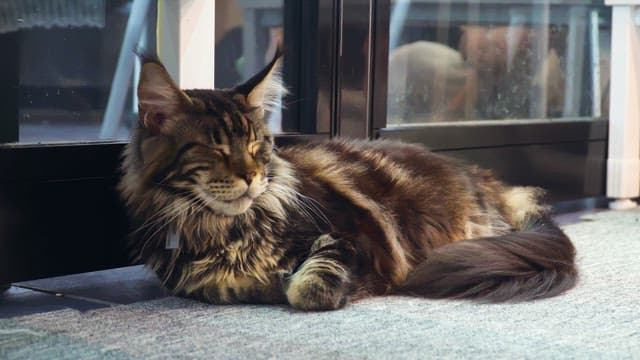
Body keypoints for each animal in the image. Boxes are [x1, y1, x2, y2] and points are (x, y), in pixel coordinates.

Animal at [117, 52, 576, 310]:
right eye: (215, 149)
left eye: (256, 145)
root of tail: (487, 179)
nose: (252, 176)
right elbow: (223, 287)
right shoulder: (191, 281)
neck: (222, 229)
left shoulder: (351, 240)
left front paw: (287, 285)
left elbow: (309, 287)